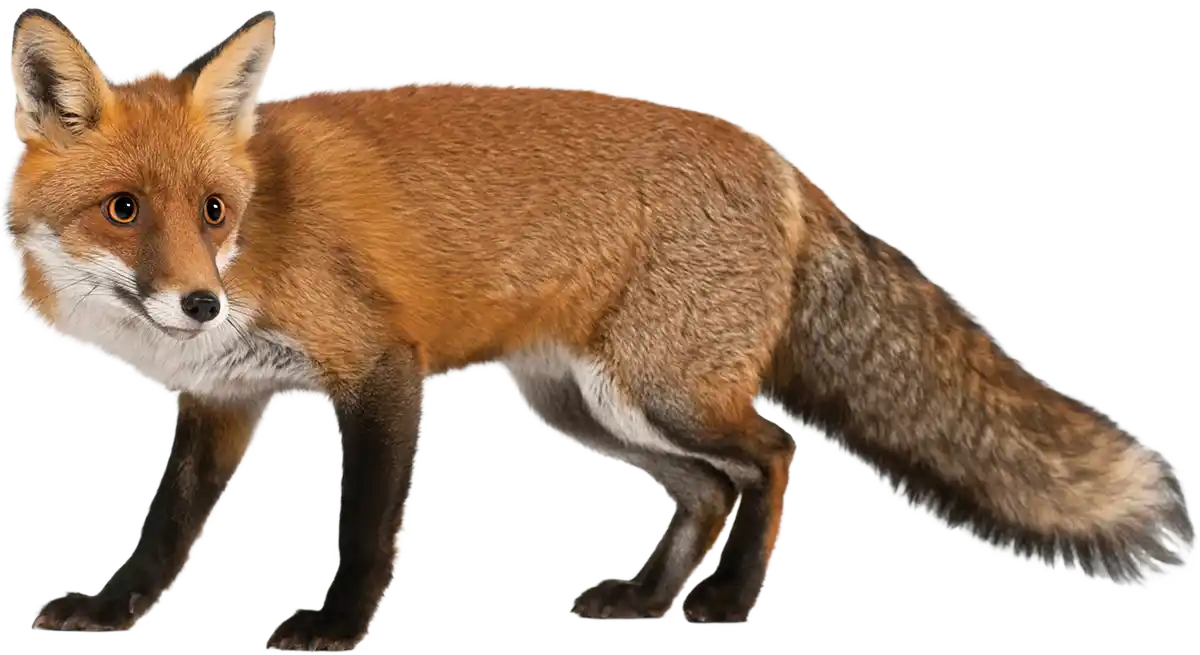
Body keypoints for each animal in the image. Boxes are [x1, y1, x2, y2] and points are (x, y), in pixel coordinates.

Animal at [4, 7, 1195, 652]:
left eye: (213, 210)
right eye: (124, 209)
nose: (198, 302)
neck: (261, 234)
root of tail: (782, 163)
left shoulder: (381, 370)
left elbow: (362, 530)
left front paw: (338, 626)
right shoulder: (225, 397)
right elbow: (163, 530)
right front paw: (112, 611)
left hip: (657, 390)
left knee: (774, 453)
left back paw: (727, 601)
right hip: (585, 406)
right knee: (710, 488)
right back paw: (646, 597)